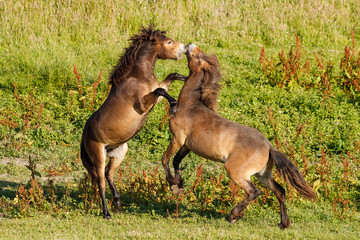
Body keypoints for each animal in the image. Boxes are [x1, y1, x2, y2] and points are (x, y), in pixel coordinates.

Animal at [80, 26, 187, 219]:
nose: (184, 47)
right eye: (169, 42)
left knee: (109, 174)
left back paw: (118, 204)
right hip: (98, 156)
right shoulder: (143, 105)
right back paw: (107, 212)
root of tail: (83, 136)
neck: (138, 76)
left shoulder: (154, 98)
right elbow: (161, 90)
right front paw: (174, 106)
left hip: (119, 153)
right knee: (101, 181)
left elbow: (168, 80)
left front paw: (185, 77)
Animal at [160, 43, 316, 229]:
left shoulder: (177, 139)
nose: (190, 45)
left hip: (236, 171)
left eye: (197, 56)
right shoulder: (187, 145)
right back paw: (283, 223)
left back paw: (234, 215)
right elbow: (176, 161)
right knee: (280, 190)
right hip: (263, 174)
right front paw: (179, 185)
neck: (189, 106)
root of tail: (269, 147)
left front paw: (172, 184)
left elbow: (165, 159)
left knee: (254, 191)